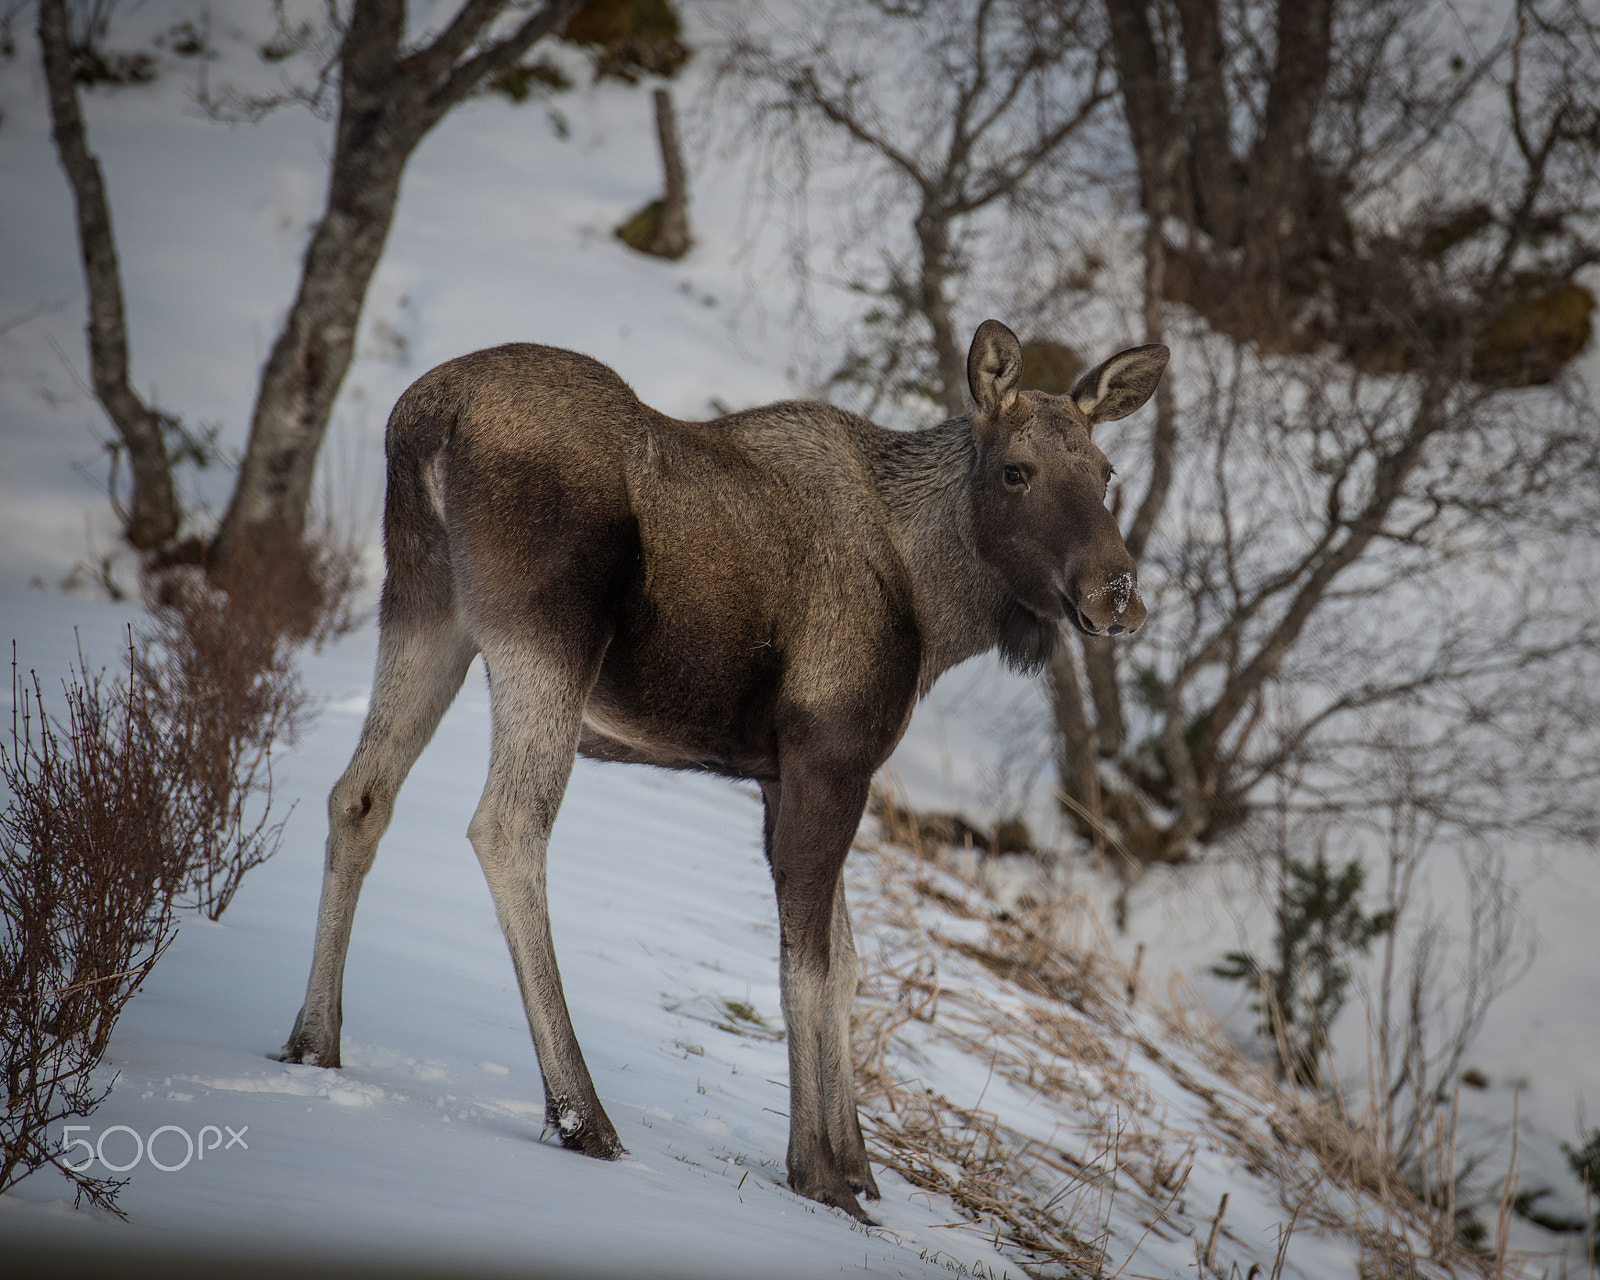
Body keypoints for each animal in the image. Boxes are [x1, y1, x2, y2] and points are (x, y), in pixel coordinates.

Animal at [282, 319, 1167, 1221]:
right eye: (1017, 470)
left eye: (1105, 471)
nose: (1117, 595)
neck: (937, 606)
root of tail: (430, 416)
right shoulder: (829, 758)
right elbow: (808, 967)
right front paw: (818, 1173)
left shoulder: (785, 776)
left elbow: (845, 961)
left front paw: (858, 1164)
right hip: (547, 639)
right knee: (507, 826)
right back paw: (580, 1114)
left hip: (425, 603)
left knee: (359, 796)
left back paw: (314, 1041)